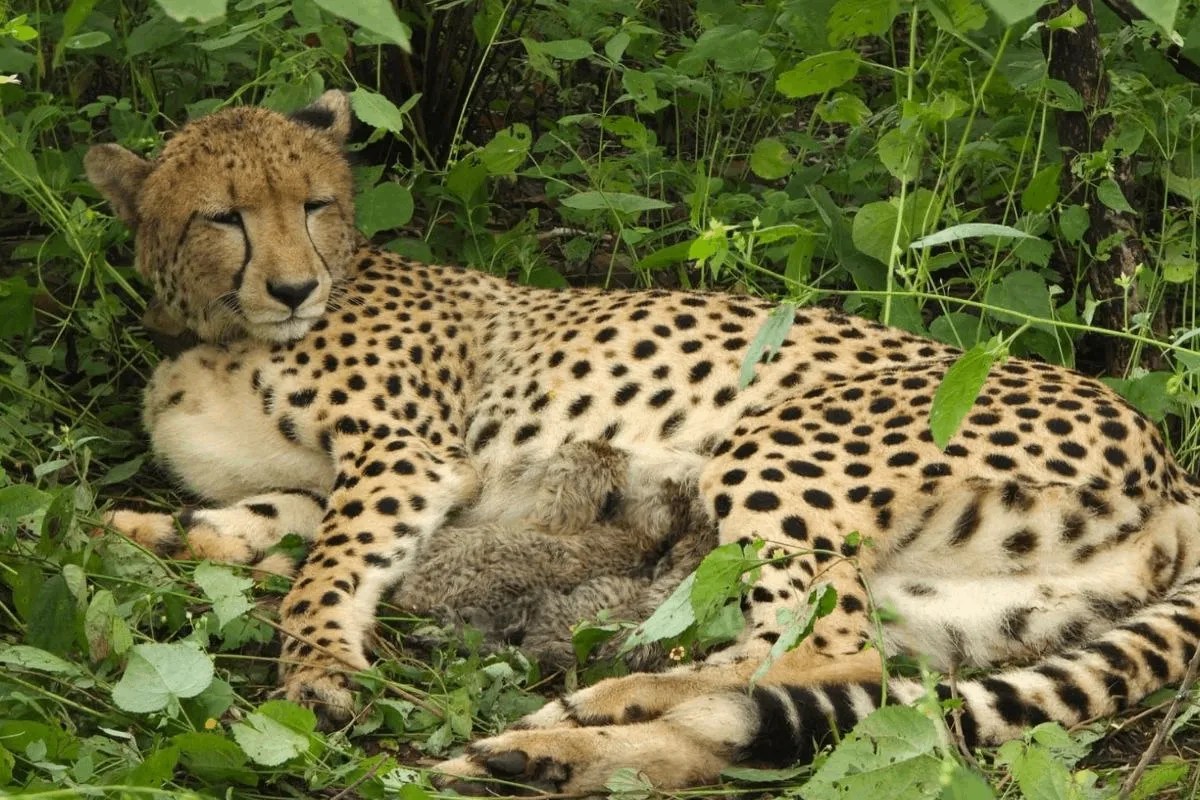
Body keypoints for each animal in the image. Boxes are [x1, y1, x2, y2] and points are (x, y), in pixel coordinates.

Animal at [86, 90, 1200, 793]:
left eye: (315, 205)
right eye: (223, 216)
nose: (292, 286)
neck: (221, 331)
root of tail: (1171, 461)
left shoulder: (407, 458)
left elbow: (324, 570)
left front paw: (315, 667)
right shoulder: (325, 484)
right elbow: (247, 526)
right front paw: (137, 533)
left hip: (778, 444)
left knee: (823, 656)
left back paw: (596, 710)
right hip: (965, 605)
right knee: (852, 685)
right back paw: (562, 746)